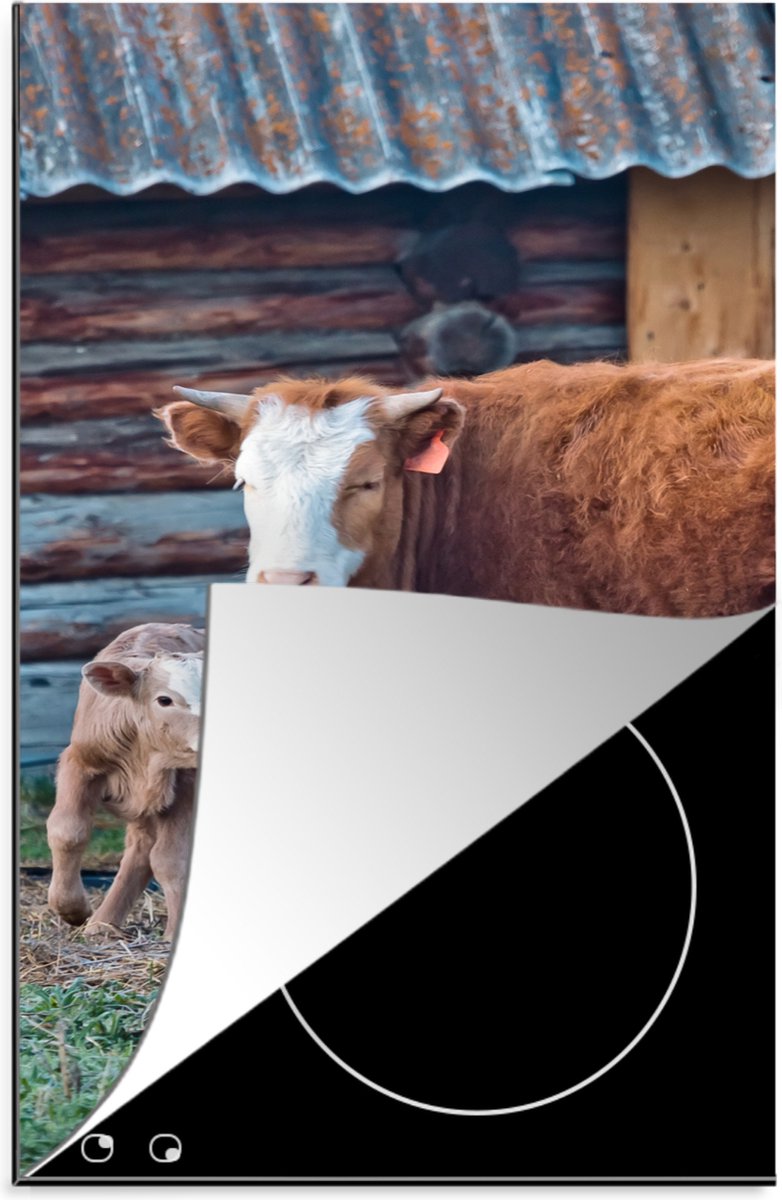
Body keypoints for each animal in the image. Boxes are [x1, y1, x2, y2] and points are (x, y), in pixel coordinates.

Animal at [46, 623, 204, 941]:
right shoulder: (80, 761)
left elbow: (170, 859)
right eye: (164, 700)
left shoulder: (186, 782)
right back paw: (102, 923)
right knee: (140, 848)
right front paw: (72, 910)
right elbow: (67, 831)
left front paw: (174, 933)